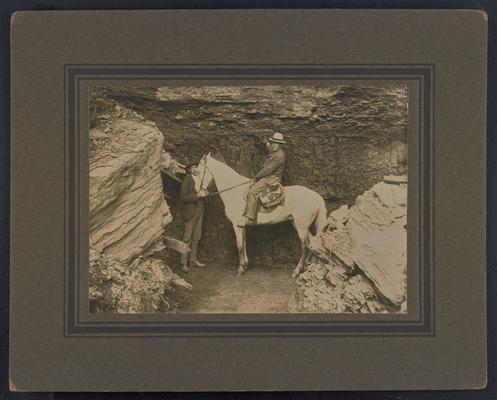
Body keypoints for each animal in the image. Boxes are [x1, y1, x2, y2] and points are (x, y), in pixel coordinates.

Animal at [196, 152, 328, 276]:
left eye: (198, 172)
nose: (199, 194)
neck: (234, 191)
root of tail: (317, 196)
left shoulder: (236, 225)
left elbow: (239, 245)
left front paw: (240, 269)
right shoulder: (242, 226)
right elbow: (244, 244)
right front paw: (245, 266)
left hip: (301, 227)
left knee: (305, 245)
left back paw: (297, 271)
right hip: (301, 226)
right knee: (312, 243)